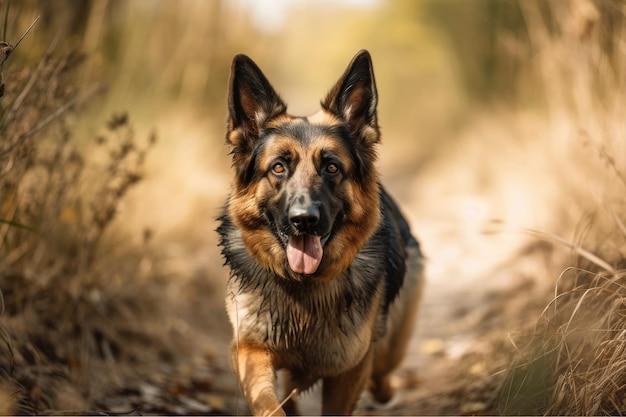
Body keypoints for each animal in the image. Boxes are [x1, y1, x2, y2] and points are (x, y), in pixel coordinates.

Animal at [216, 48, 424, 412]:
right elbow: (268, 403)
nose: (304, 220)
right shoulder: (251, 351)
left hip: (389, 343)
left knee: (382, 373)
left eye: (331, 167)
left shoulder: (347, 370)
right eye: (278, 167)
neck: (303, 287)